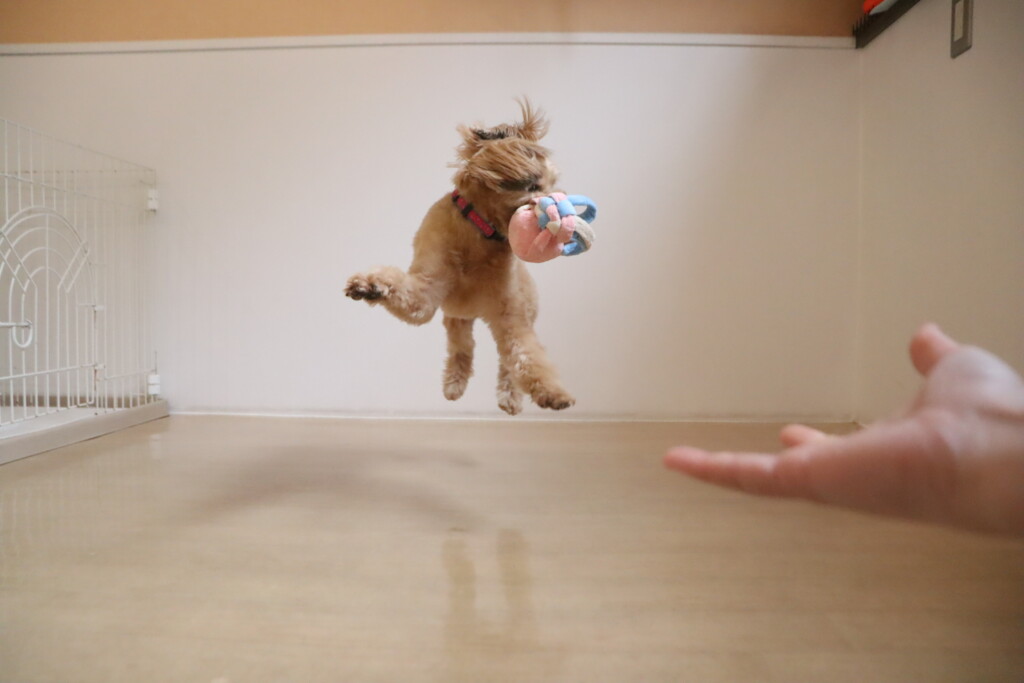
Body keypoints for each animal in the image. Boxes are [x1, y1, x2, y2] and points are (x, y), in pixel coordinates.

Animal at [344, 100, 574, 415]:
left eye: (553, 184)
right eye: (532, 186)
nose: (561, 211)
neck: (479, 234)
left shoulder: (510, 316)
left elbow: (526, 356)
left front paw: (554, 393)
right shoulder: (426, 293)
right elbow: (404, 291)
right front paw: (370, 285)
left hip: (517, 312)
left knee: (505, 364)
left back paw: (509, 397)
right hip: (456, 319)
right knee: (462, 349)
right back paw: (454, 384)